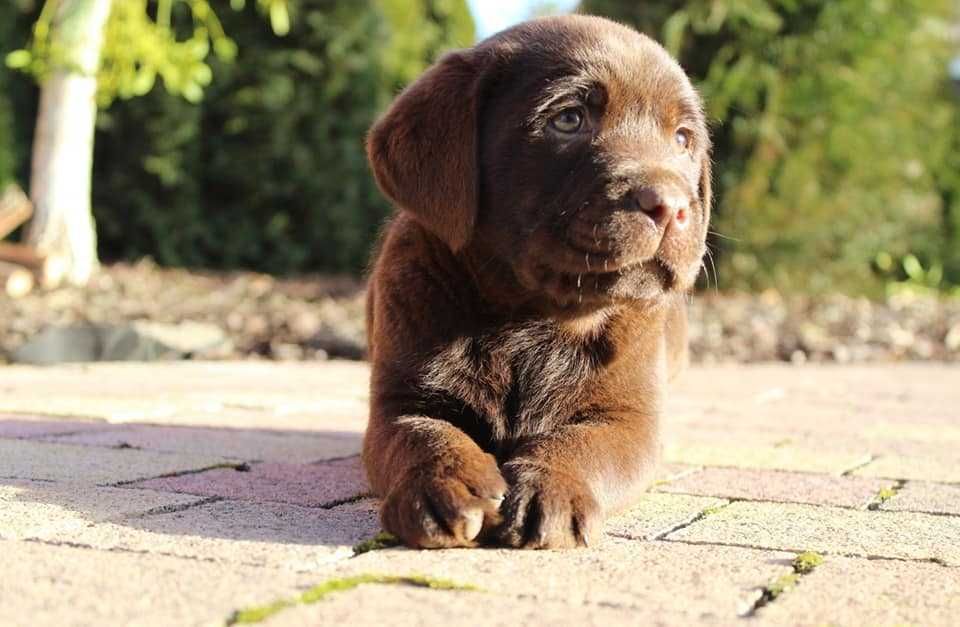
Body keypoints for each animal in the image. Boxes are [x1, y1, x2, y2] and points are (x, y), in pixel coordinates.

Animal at [364, 13, 708, 548]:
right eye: (568, 119)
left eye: (682, 139)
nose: (671, 206)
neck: (531, 317)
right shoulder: (399, 401)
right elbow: (422, 435)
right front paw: (443, 482)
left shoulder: (629, 418)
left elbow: (582, 442)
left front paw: (550, 486)